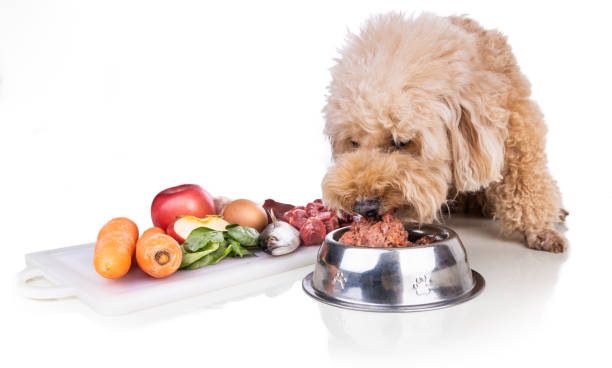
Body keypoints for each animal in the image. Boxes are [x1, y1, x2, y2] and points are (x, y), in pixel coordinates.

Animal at [322, 12, 568, 253]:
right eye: (353, 142)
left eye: (401, 142)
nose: (364, 206)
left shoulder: (518, 124)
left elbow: (526, 179)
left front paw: (541, 229)